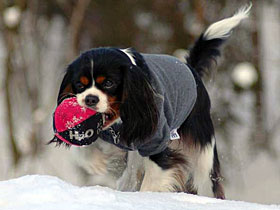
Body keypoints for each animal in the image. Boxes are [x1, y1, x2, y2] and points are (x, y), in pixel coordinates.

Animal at [54, 4, 252, 199]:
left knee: (207, 180)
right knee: (131, 173)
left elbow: (154, 178)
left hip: (203, 151)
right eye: (80, 84)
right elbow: (80, 146)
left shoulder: (157, 142)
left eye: (109, 83)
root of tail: (191, 69)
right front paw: (97, 163)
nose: (90, 99)